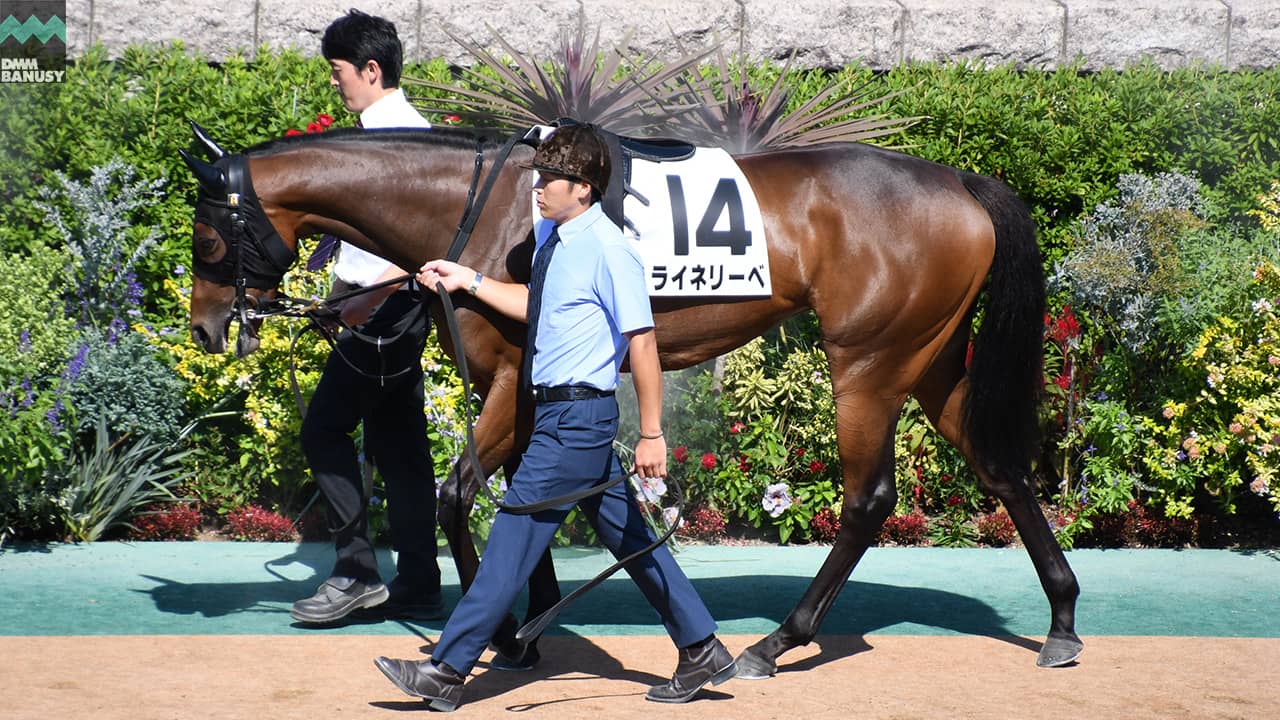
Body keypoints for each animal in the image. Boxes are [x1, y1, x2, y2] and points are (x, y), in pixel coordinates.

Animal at [180, 124, 1080, 671]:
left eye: (208, 236)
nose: (207, 327)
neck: (485, 210)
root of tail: (959, 181)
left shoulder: (511, 381)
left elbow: (459, 494)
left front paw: (499, 632)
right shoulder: (537, 386)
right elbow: (534, 498)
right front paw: (531, 618)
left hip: (867, 360)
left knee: (867, 499)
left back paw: (778, 642)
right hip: (927, 357)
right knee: (1000, 467)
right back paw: (1063, 620)